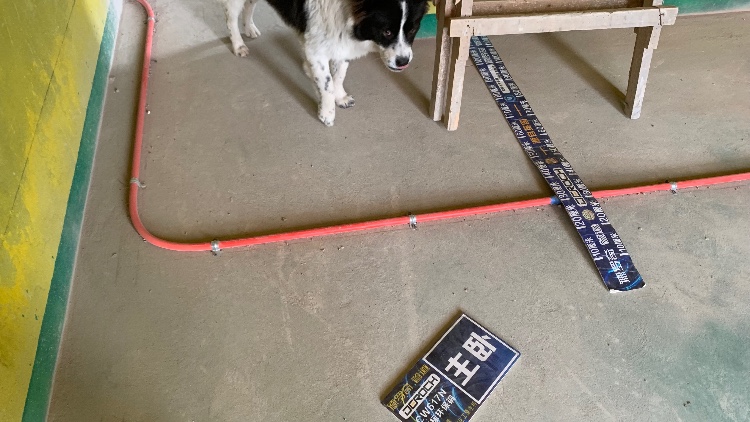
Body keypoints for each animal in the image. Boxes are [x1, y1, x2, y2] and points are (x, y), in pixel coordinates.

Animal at [220, 0, 429, 126]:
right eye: (387, 31)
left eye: (413, 30)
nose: (403, 62)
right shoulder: (318, 51)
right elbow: (327, 84)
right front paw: (327, 113)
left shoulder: (341, 45)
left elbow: (339, 75)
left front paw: (340, 97)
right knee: (231, 18)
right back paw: (238, 44)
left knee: (249, 6)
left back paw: (250, 29)